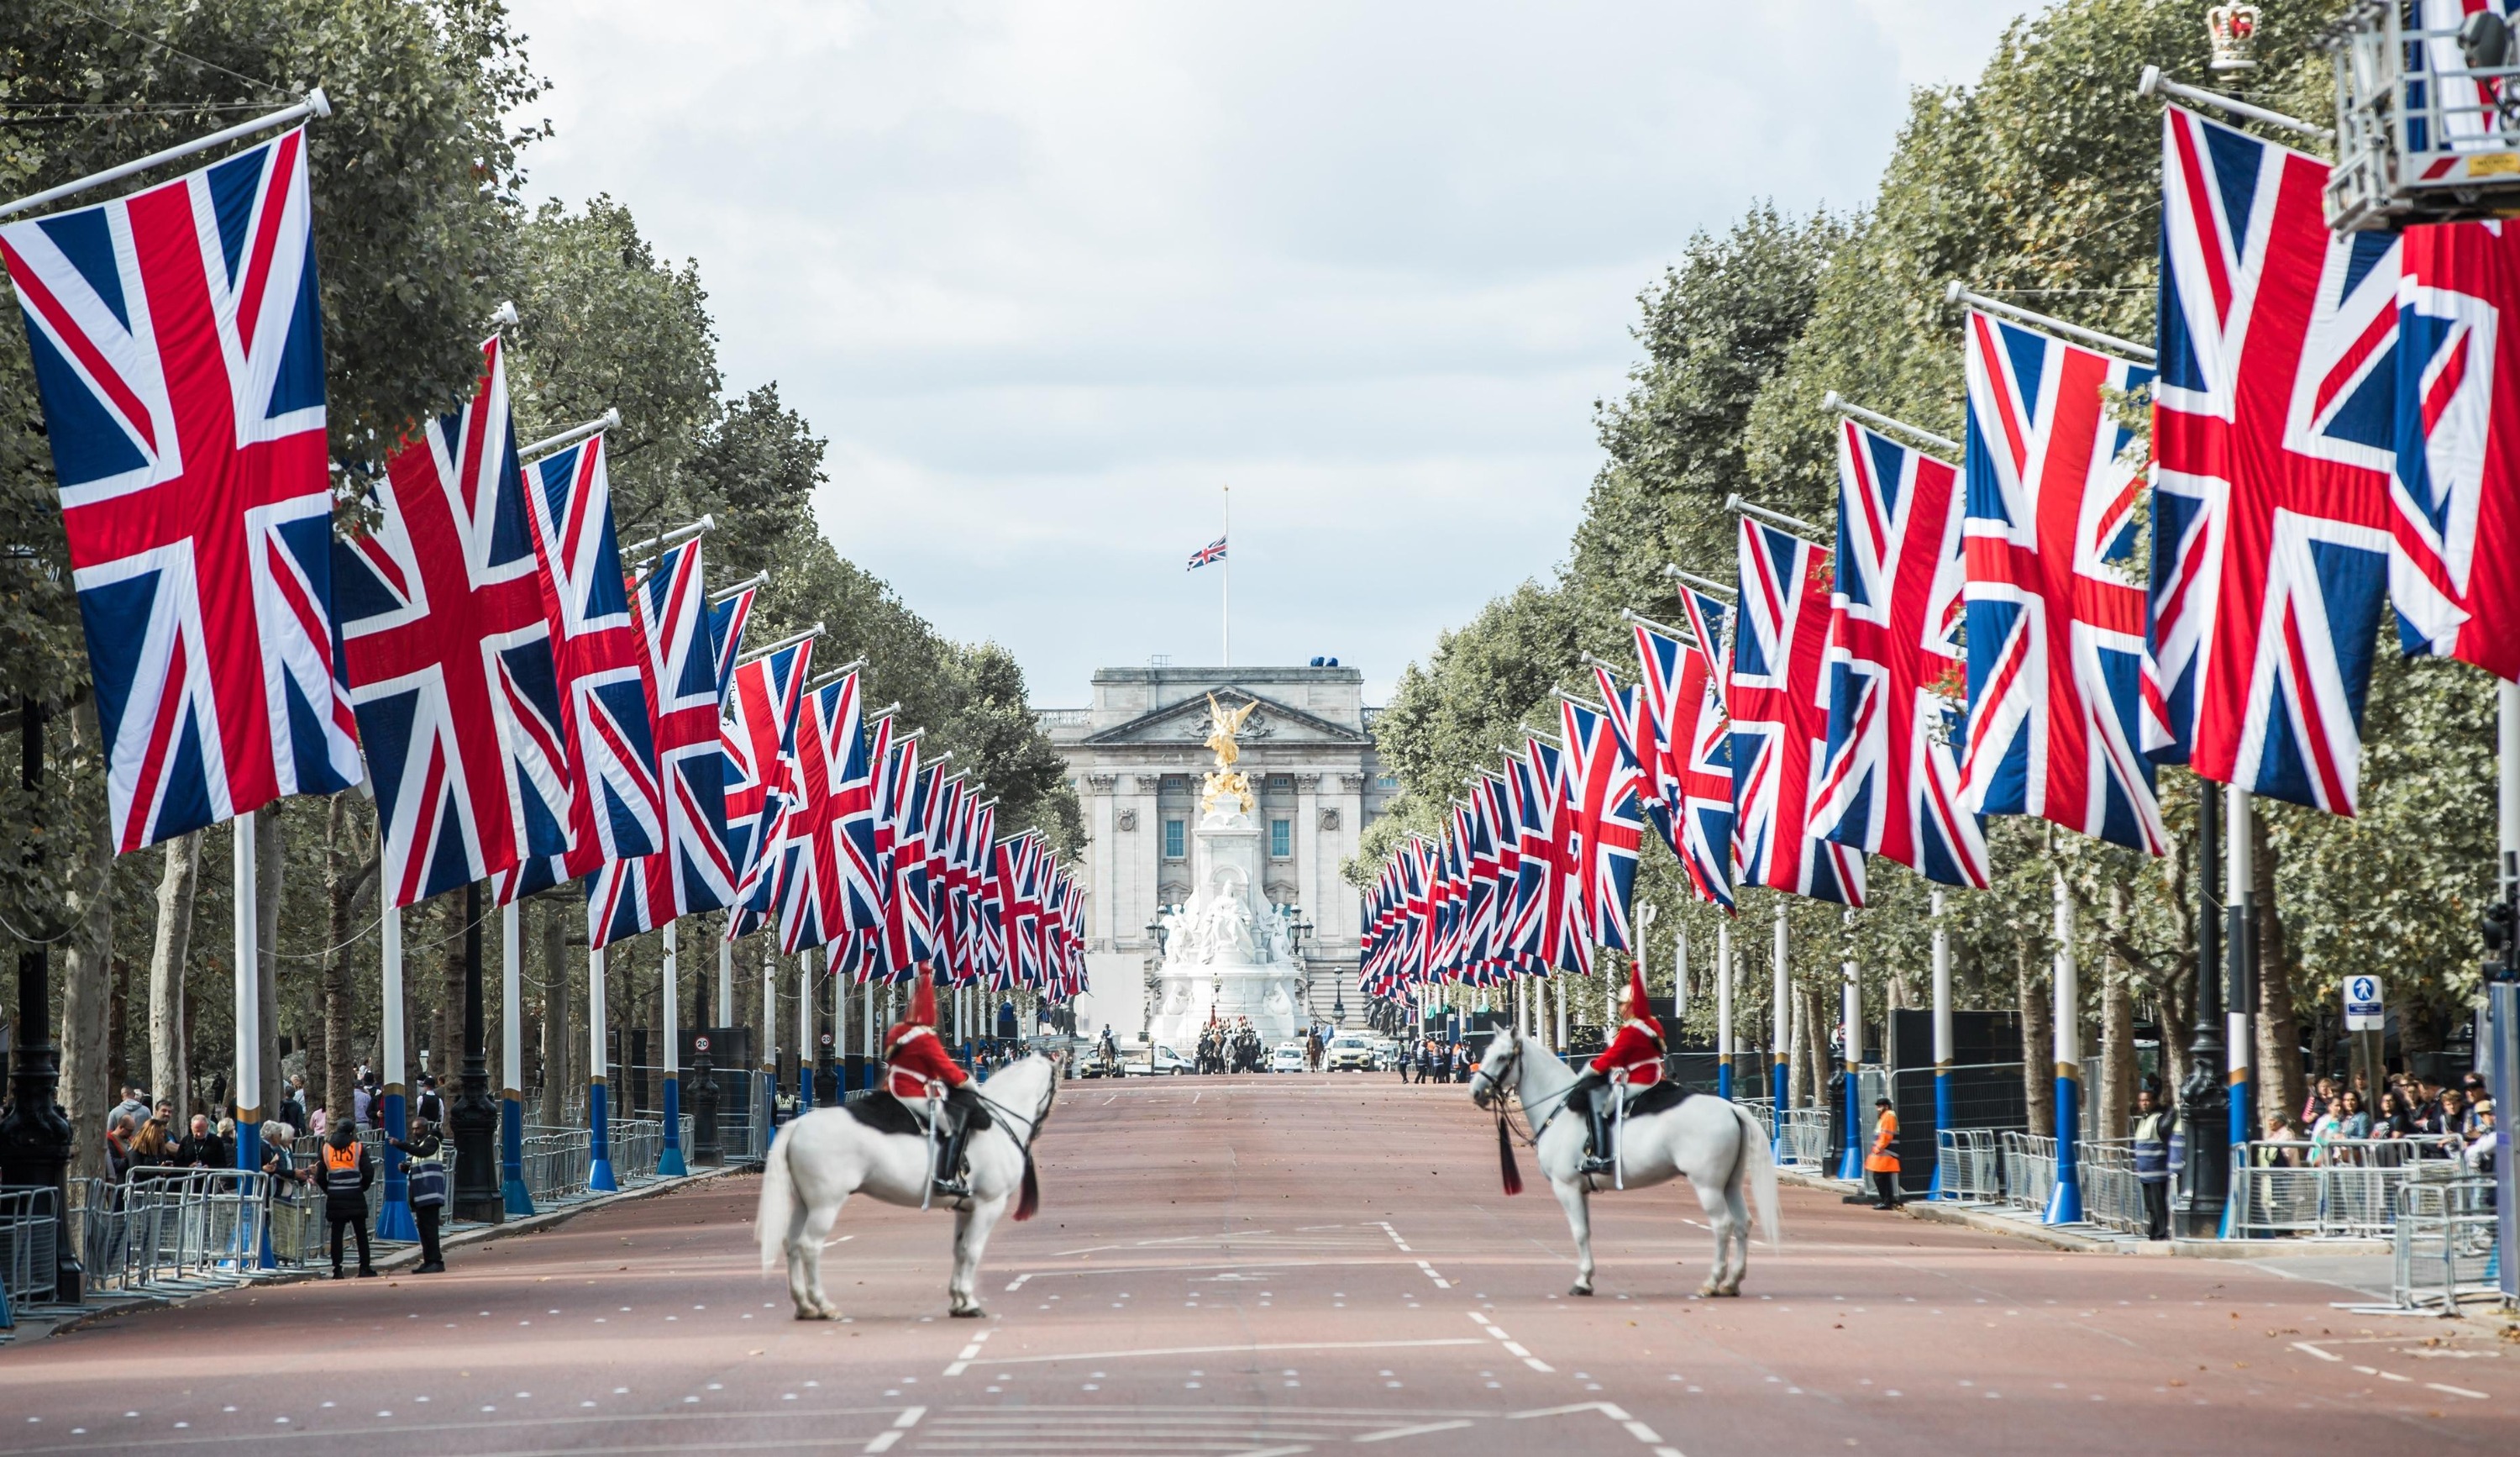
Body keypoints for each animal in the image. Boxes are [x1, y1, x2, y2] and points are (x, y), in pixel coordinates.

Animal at [751, 1054, 1058, 1311]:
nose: (1038, 1129)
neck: (997, 1122)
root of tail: (797, 1124)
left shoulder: (966, 1207)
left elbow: (960, 1249)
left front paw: (958, 1300)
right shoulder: (988, 1204)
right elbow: (973, 1251)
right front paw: (969, 1302)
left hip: (805, 1202)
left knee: (791, 1244)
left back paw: (804, 1305)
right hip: (826, 1203)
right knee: (810, 1246)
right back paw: (823, 1305)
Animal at [1472, 1034, 1784, 1291]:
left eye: (1502, 1057)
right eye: (1488, 1052)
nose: (1475, 1092)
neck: (1559, 1108)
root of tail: (1732, 1108)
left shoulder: (1566, 1187)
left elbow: (1579, 1232)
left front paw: (1582, 1281)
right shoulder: (1581, 1190)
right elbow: (1586, 1230)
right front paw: (1587, 1277)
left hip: (1707, 1185)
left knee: (1722, 1225)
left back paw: (1712, 1282)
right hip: (1730, 1183)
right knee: (1742, 1223)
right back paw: (1732, 1282)